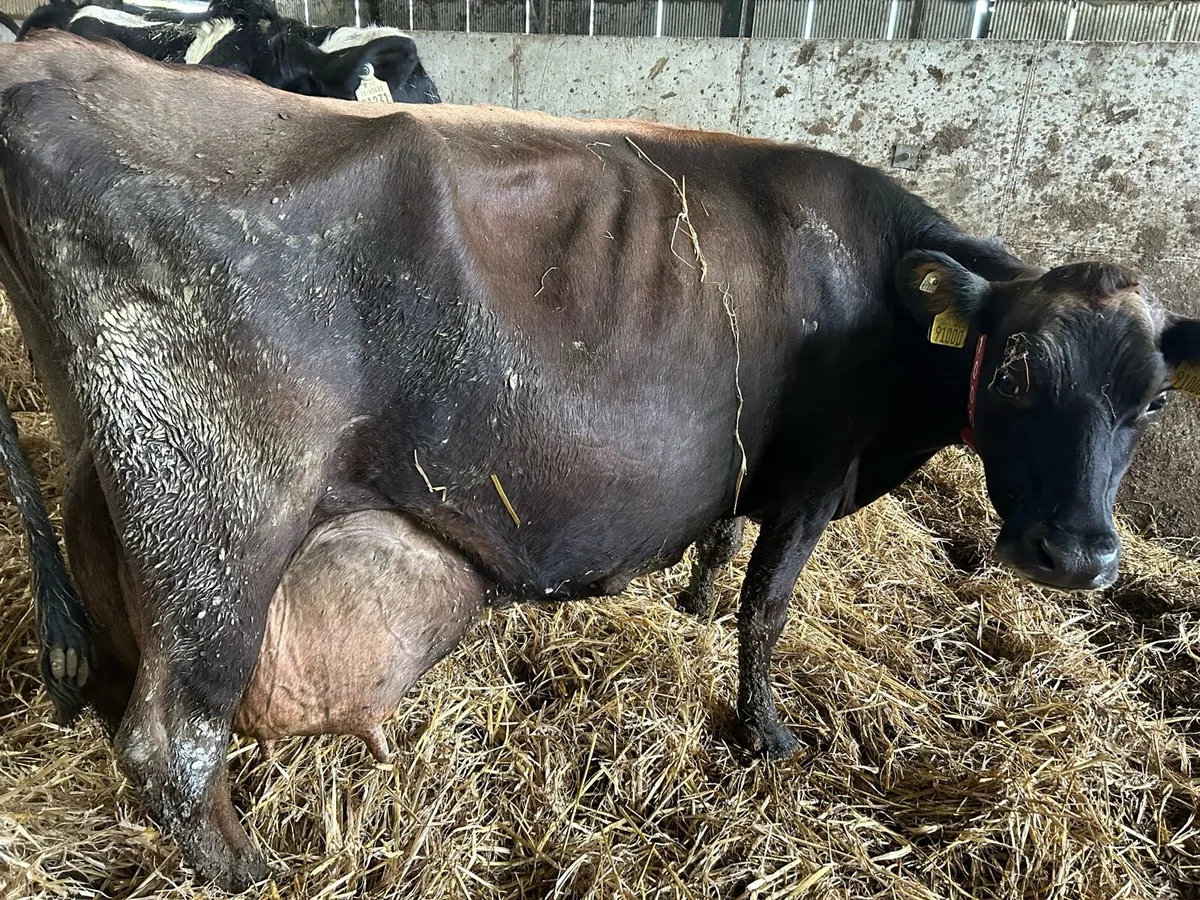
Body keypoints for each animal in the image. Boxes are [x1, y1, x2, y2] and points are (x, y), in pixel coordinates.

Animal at [1, 32, 1197, 890]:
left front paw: (695, 603)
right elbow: (770, 605)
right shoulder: (817, 472)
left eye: (1148, 401)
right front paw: (766, 733)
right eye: (1016, 374)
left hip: (112, 491)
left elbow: (723, 543)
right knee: (171, 739)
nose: (1080, 558)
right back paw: (252, 871)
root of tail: (47, 60)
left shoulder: (753, 468)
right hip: (218, 514)